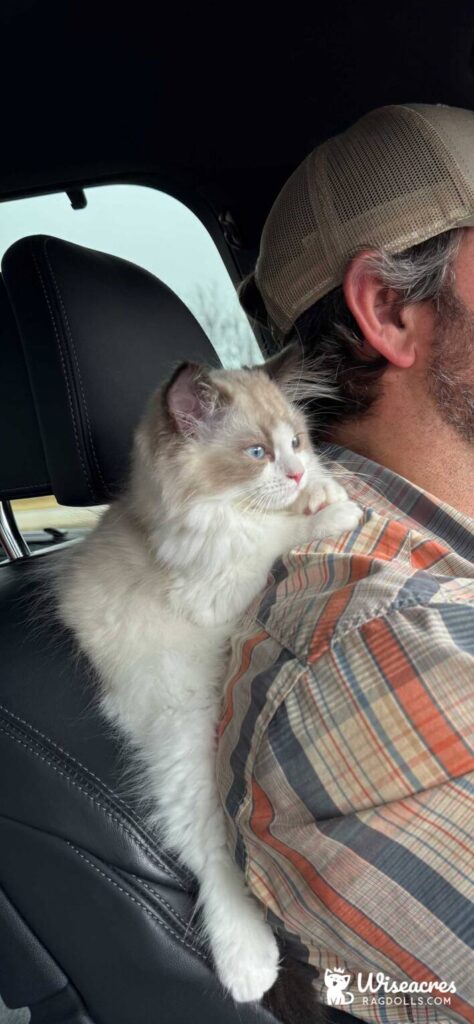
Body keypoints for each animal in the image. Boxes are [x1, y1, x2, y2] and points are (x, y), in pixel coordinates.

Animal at [55, 348, 362, 1003]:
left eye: (296, 443)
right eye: (257, 453)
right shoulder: (214, 588)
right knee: (212, 855)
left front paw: (321, 488)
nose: (294, 473)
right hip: (187, 736)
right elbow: (273, 536)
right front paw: (331, 511)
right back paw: (248, 965)